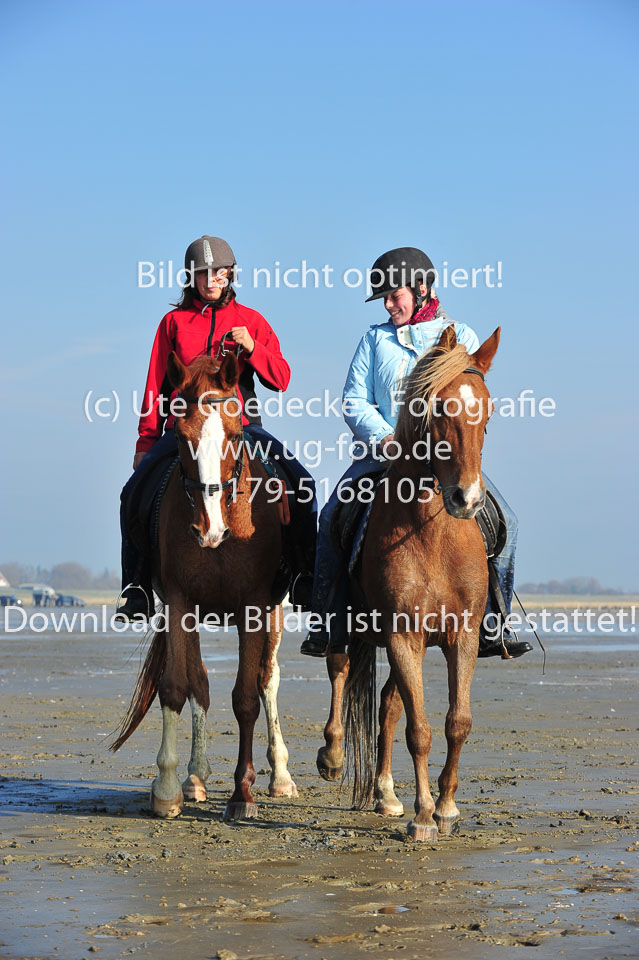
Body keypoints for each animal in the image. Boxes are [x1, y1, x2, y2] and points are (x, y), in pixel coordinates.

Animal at [112, 350, 298, 816]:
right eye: (181, 436)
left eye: (233, 434)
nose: (209, 530)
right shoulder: (180, 604)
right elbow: (179, 687)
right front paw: (168, 787)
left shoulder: (253, 608)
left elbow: (246, 697)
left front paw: (242, 794)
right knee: (200, 683)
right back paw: (196, 776)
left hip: (274, 614)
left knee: (268, 679)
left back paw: (281, 776)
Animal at [318, 328, 502, 840]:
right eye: (437, 409)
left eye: (488, 410)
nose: (467, 498)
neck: (431, 533)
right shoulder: (404, 635)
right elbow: (419, 730)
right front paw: (423, 815)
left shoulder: (462, 637)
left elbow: (456, 721)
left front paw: (447, 808)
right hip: (353, 626)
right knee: (339, 668)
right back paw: (333, 756)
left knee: (386, 704)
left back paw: (384, 793)